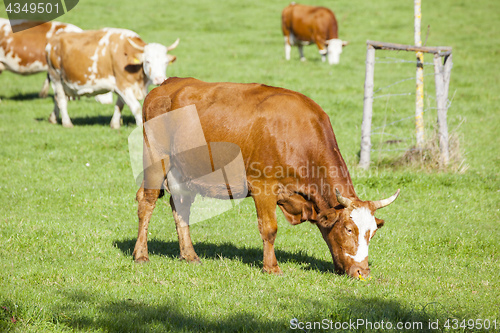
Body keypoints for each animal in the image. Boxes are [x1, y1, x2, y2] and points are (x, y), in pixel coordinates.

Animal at [44, 27, 178, 127]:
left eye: (166, 62)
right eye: (148, 61)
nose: (159, 79)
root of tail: (53, 41)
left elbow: (120, 105)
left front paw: (115, 124)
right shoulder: (123, 85)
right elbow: (136, 107)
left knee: (57, 98)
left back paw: (53, 118)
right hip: (56, 77)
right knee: (61, 99)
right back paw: (67, 123)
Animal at [133, 77, 398, 278]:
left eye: (372, 233)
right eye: (348, 229)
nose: (363, 272)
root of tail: (168, 83)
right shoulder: (263, 187)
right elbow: (269, 229)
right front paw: (271, 267)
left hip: (184, 171)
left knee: (181, 207)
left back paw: (189, 255)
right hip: (156, 160)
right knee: (147, 202)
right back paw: (141, 254)